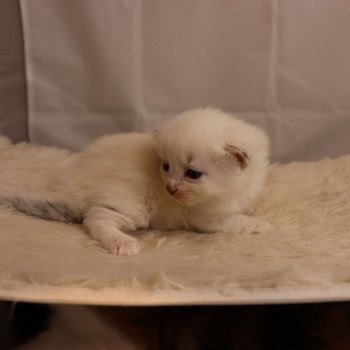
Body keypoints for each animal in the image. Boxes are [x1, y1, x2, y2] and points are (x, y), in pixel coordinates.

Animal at [0, 108, 274, 256]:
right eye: (166, 166)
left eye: (192, 174)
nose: (170, 188)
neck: (230, 190)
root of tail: (70, 185)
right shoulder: (204, 217)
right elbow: (235, 221)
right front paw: (261, 224)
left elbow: (242, 209)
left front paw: (251, 210)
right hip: (133, 206)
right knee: (95, 218)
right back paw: (122, 243)